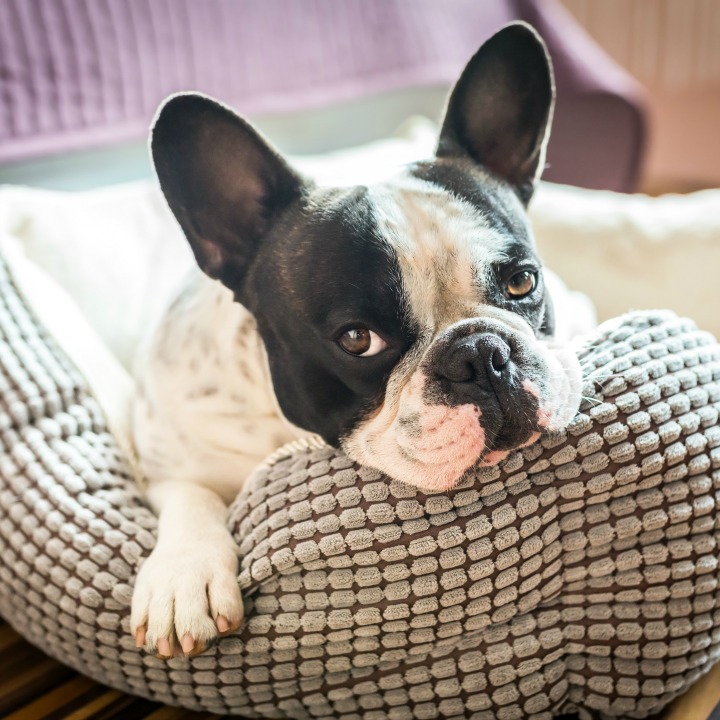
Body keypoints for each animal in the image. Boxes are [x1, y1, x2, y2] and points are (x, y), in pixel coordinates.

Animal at [132, 25, 584, 660]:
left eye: (523, 281)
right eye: (357, 340)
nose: (482, 356)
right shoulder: (164, 454)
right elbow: (192, 494)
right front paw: (183, 575)